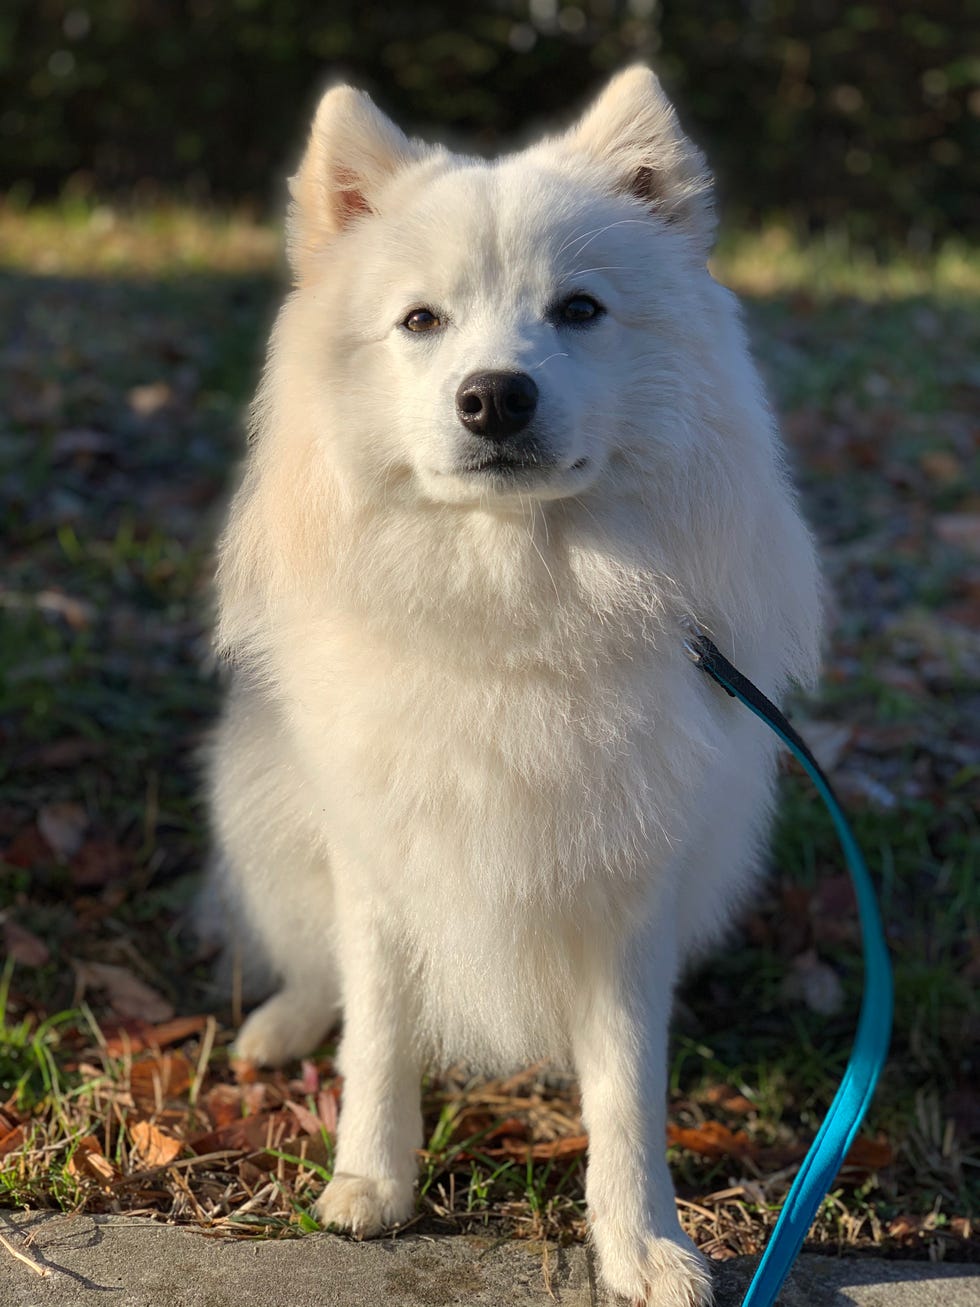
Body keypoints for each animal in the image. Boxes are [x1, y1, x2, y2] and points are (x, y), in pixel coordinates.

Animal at [205, 68, 820, 1307]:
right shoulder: (380, 864)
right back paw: (281, 1025)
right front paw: (369, 1183)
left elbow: (625, 1085)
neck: (513, 599)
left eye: (578, 310)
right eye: (420, 321)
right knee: (311, 961)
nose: (494, 396)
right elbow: (379, 1034)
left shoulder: (625, 891)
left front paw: (641, 1244)